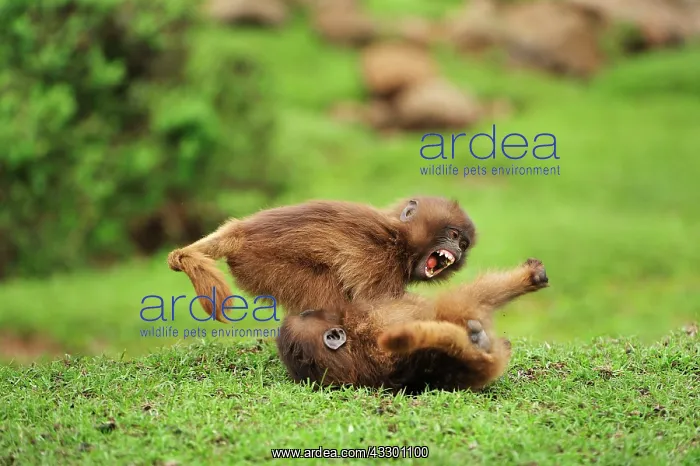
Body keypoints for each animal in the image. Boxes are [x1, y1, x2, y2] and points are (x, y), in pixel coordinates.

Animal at [167, 196, 476, 322]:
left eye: (463, 243)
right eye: (452, 234)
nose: (458, 250)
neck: (400, 240)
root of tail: (240, 231)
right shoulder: (379, 260)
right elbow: (379, 306)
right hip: (263, 264)